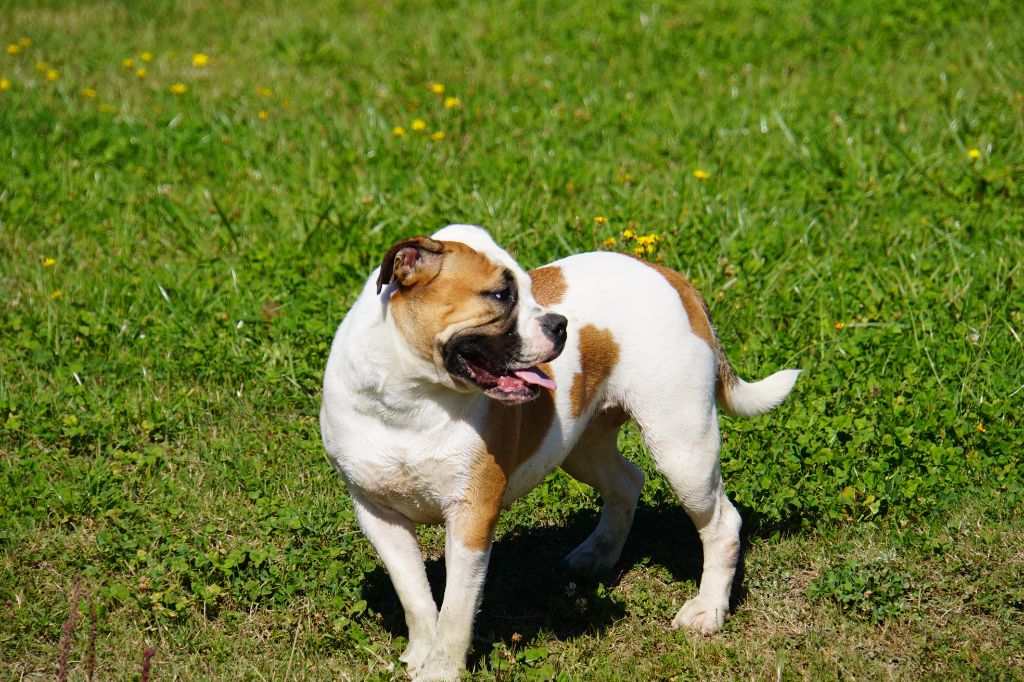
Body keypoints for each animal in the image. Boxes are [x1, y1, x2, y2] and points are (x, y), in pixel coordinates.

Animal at [319, 223, 798, 675]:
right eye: (501, 295)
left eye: (530, 291)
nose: (560, 323)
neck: (412, 398)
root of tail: (669, 276)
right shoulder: (379, 516)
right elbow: (415, 596)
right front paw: (420, 654)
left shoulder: (472, 516)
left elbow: (456, 610)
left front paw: (441, 671)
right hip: (581, 447)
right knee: (626, 481)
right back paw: (597, 555)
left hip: (683, 449)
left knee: (721, 524)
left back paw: (707, 610)